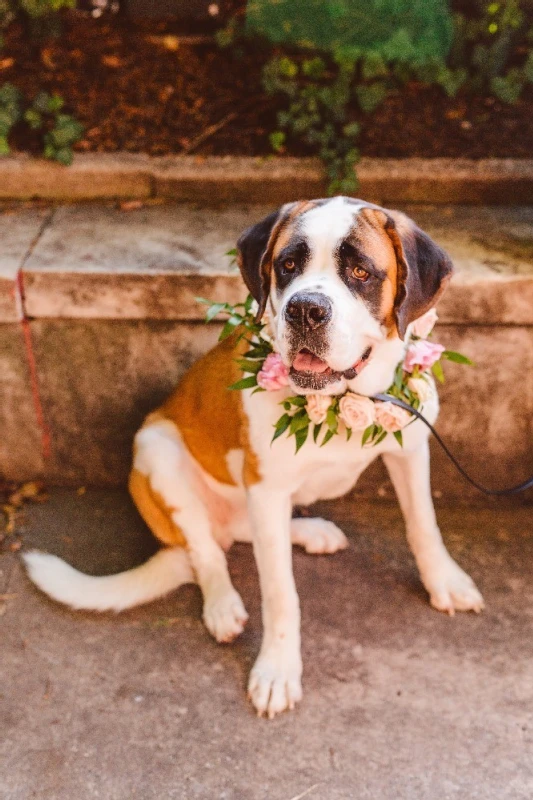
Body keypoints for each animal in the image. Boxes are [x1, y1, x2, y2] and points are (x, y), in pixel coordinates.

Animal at [23, 198, 482, 720]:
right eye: (288, 266)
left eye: (361, 271)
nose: (305, 309)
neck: (345, 399)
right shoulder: (265, 486)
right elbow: (281, 593)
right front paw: (278, 670)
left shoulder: (410, 447)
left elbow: (423, 523)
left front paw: (444, 580)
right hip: (157, 449)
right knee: (206, 551)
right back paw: (222, 604)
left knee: (243, 534)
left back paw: (310, 531)